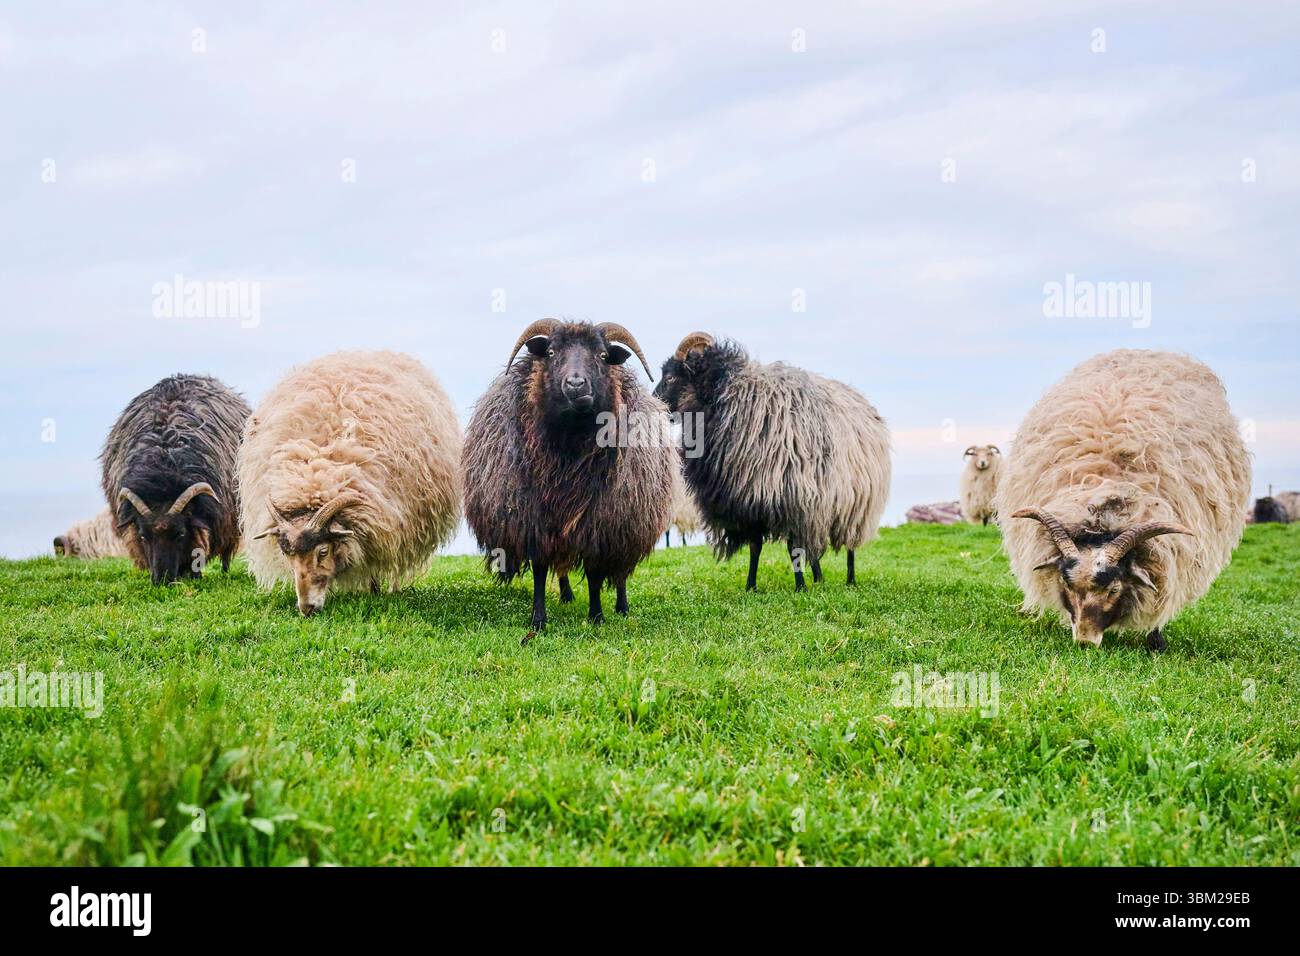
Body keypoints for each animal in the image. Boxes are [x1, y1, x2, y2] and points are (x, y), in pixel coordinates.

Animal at [238, 350, 461, 617]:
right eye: (287, 555)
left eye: (322, 551)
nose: (307, 609)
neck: (317, 476)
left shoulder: (383, 526)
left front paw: (374, 592)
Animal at [462, 319, 673, 630]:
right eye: (550, 352)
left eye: (602, 355)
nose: (575, 385)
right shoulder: (535, 520)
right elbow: (540, 572)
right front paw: (538, 620)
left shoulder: (602, 523)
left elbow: (596, 576)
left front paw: (596, 616)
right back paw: (566, 595)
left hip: (628, 522)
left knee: (621, 572)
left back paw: (622, 607)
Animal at [654, 332, 891, 591]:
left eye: (670, 377)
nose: (655, 404)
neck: (727, 399)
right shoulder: (748, 501)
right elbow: (755, 546)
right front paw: (751, 586)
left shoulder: (793, 496)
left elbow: (792, 547)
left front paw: (800, 586)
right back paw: (819, 578)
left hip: (856, 502)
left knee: (850, 545)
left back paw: (850, 580)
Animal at [996, 349, 1251, 651]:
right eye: (1066, 584)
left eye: (1114, 589)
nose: (1084, 642)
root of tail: (1148, 351)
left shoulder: (1172, 560)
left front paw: (1156, 642)